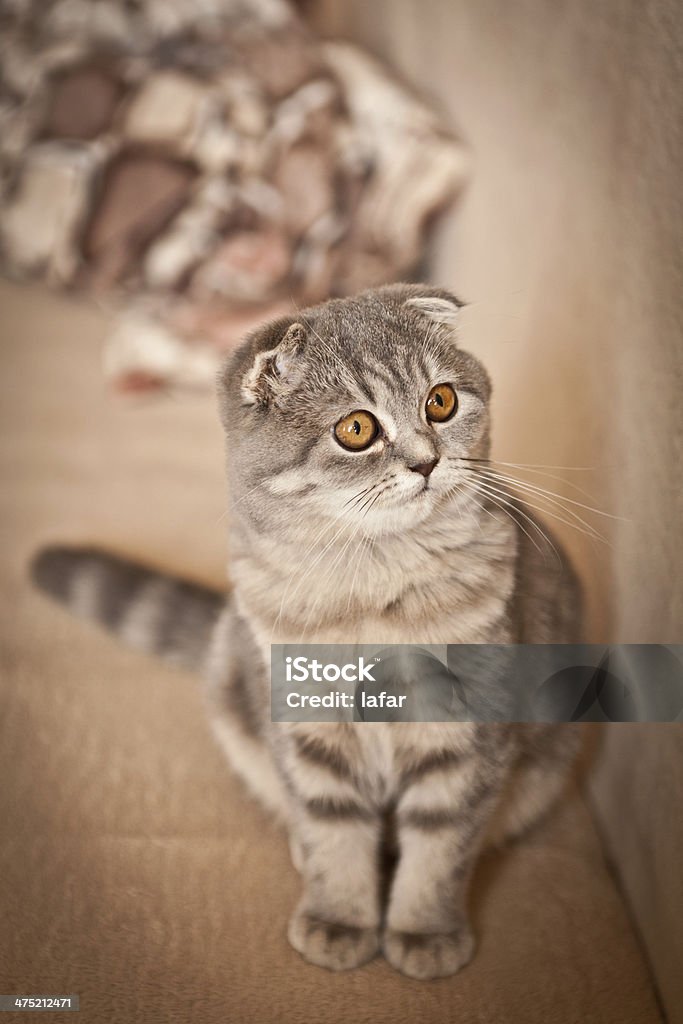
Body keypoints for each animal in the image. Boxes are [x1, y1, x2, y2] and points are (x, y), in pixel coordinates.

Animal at [33, 282, 581, 983]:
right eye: (357, 429)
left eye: (441, 401)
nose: (428, 462)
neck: (373, 590)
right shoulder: (305, 727)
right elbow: (332, 833)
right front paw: (340, 919)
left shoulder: (465, 734)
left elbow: (440, 845)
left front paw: (424, 931)